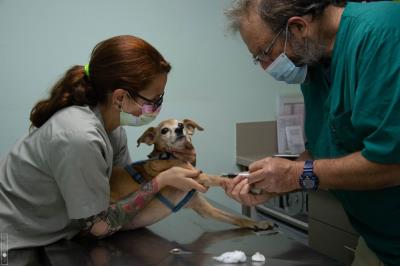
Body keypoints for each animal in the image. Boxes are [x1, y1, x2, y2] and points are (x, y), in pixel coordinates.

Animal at [108, 119, 272, 230]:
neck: (168, 156)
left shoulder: (205, 209)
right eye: (164, 130)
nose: (179, 129)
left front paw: (257, 223)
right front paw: (251, 184)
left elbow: (235, 218)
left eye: (180, 124)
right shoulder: (197, 176)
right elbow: (218, 178)